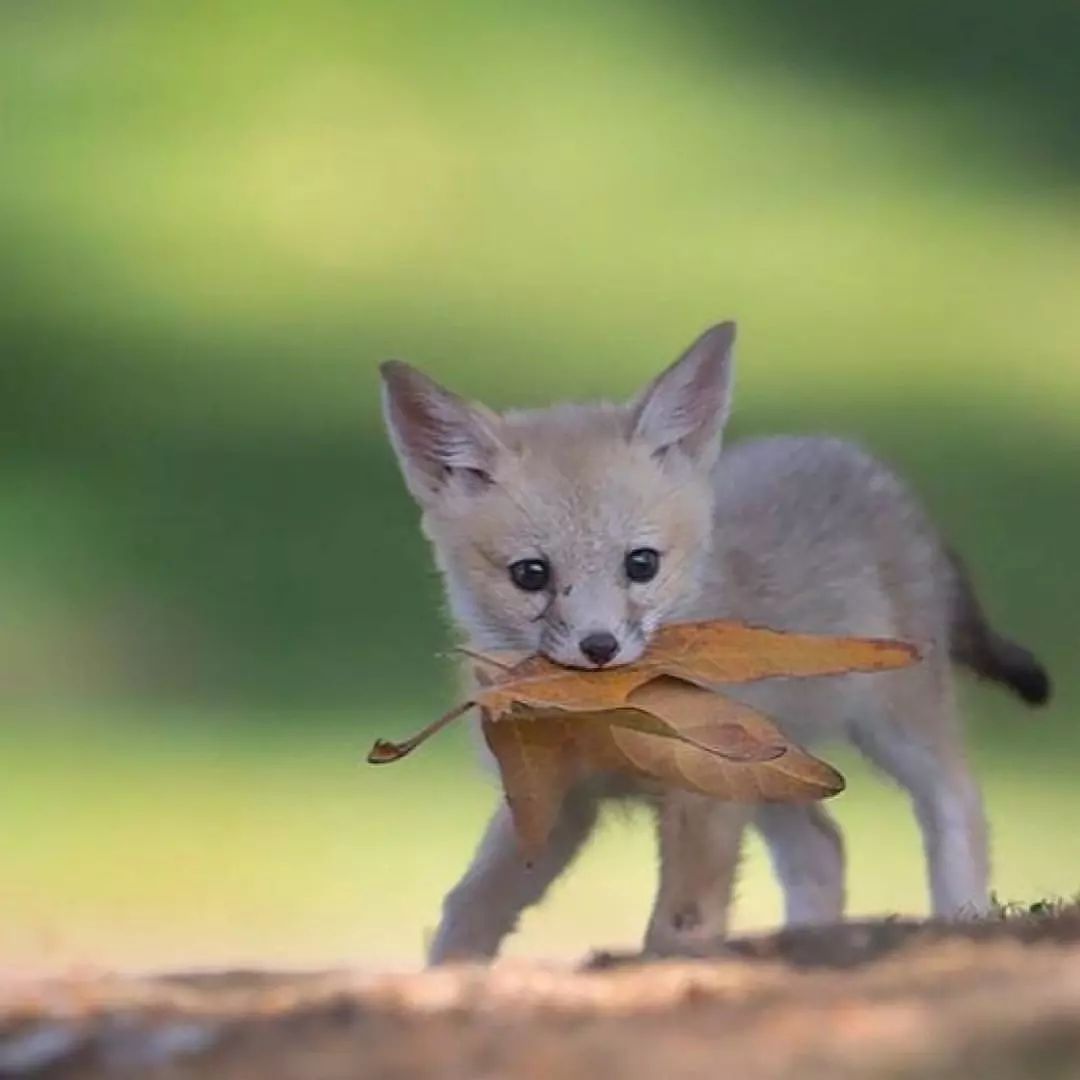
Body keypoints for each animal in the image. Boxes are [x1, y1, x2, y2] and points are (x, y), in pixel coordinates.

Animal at [378, 317, 1045, 963]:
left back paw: (961, 922)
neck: (605, 724)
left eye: (641, 564)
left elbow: (679, 926)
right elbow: (469, 907)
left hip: (896, 723)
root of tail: (866, 463)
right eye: (531, 574)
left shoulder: (702, 798)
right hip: (780, 769)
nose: (600, 648)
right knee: (824, 848)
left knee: (957, 806)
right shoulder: (555, 800)